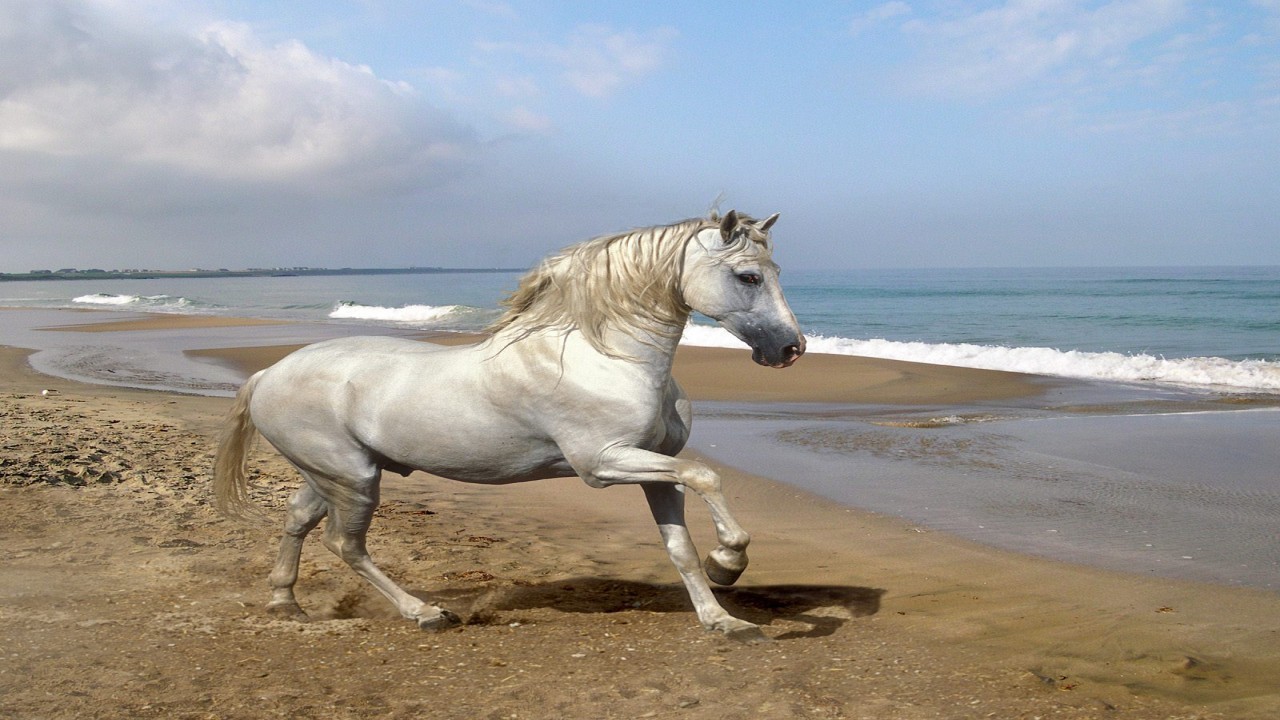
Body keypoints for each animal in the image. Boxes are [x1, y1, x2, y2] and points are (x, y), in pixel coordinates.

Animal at [213, 210, 805, 642]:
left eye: (776, 273)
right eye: (748, 276)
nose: (790, 348)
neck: (605, 356)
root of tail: (268, 373)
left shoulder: (656, 470)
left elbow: (680, 546)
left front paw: (725, 619)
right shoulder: (603, 463)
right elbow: (708, 476)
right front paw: (728, 562)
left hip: (331, 474)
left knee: (297, 520)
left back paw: (285, 603)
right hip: (354, 479)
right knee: (345, 544)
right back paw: (426, 613)